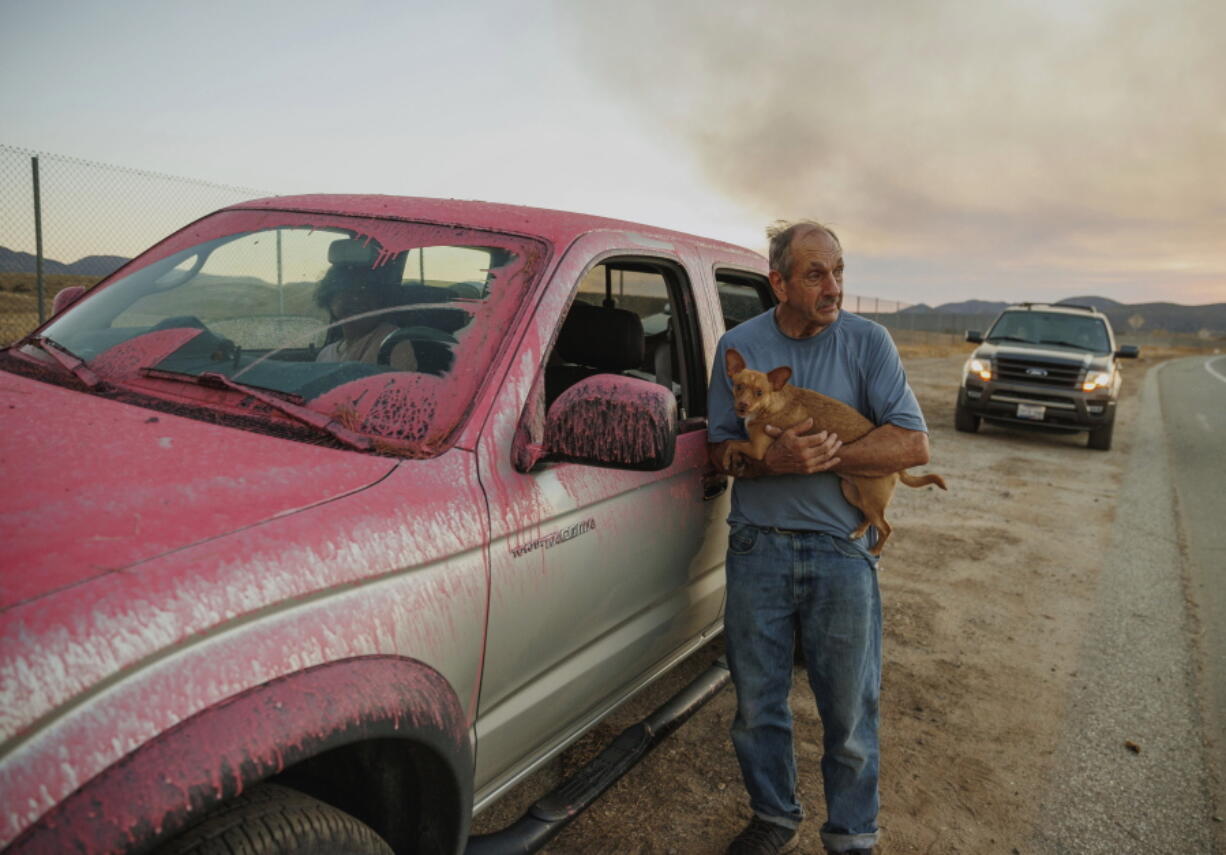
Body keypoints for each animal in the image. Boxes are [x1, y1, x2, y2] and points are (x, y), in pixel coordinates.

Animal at [720, 345, 941, 554]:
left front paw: (726, 457)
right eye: (738, 387)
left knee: (886, 528)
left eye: (759, 393)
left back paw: (875, 550)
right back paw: (858, 531)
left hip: (871, 500)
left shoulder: (758, 449)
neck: (771, 402)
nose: (742, 405)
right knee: (871, 519)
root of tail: (899, 469)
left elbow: (732, 443)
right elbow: (734, 442)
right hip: (852, 493)